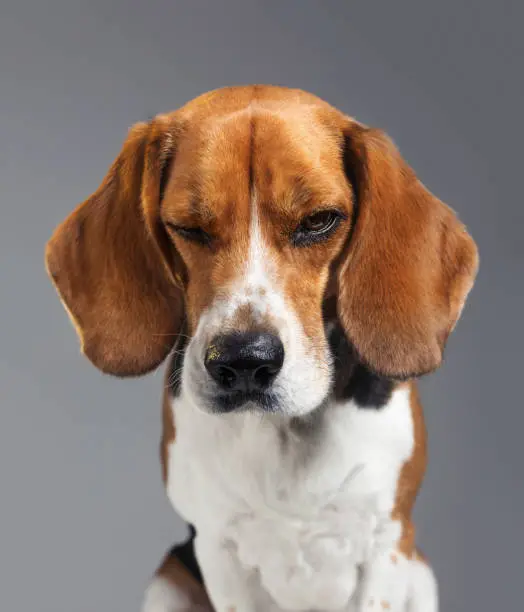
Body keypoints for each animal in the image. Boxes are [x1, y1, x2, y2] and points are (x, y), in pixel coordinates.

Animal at [46, 83, 478, 608]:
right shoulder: (217, 547)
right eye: (188, 227)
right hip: (167, 580)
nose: (244, 362)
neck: (285, 431)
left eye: (319, 221)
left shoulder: (388, 544)